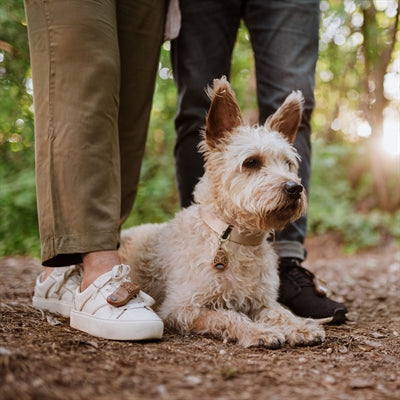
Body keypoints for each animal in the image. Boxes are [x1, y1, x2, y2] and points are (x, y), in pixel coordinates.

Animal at [119, 77, 324, 346]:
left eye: (288, 164)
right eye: (251, 162)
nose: (295, 188)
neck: (236, 238)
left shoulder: (262, 302)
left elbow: (281, 312)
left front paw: (301, 326)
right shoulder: (181, 308)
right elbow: (229, 316)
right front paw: (258, 331)